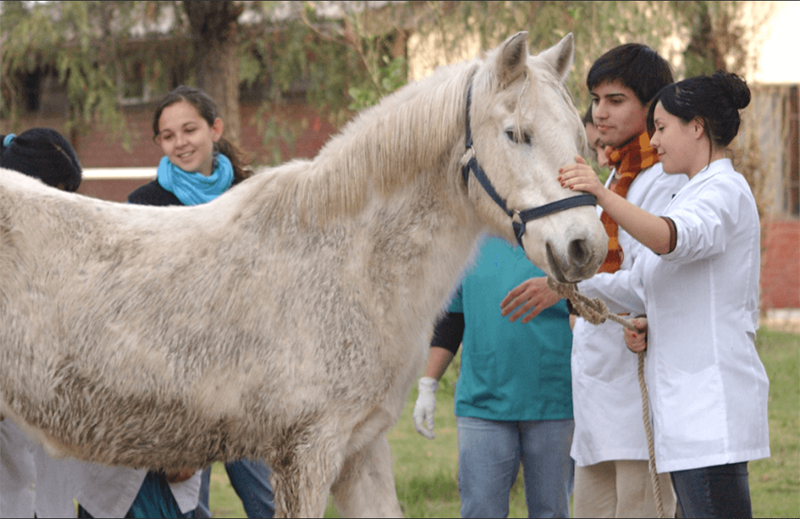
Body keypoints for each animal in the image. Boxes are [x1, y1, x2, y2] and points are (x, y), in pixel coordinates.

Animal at [0, 31, 604, 516]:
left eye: (580, 135)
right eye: (516, 134)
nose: (585, 246)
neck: (349, 263)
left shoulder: (362, 450)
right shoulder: (306, 453)